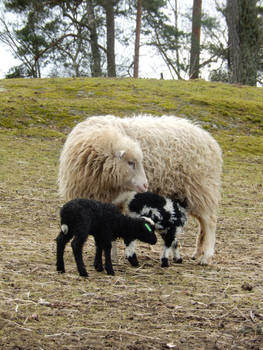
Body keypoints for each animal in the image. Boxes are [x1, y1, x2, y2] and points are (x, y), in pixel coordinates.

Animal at [58, 115, 223, 266]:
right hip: (189, 195)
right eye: (131, 163)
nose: (145, 185)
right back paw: (197, 253)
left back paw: (206, 257)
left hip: (201, 188)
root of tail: (209, 140)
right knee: (203, 225)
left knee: (210, 222)